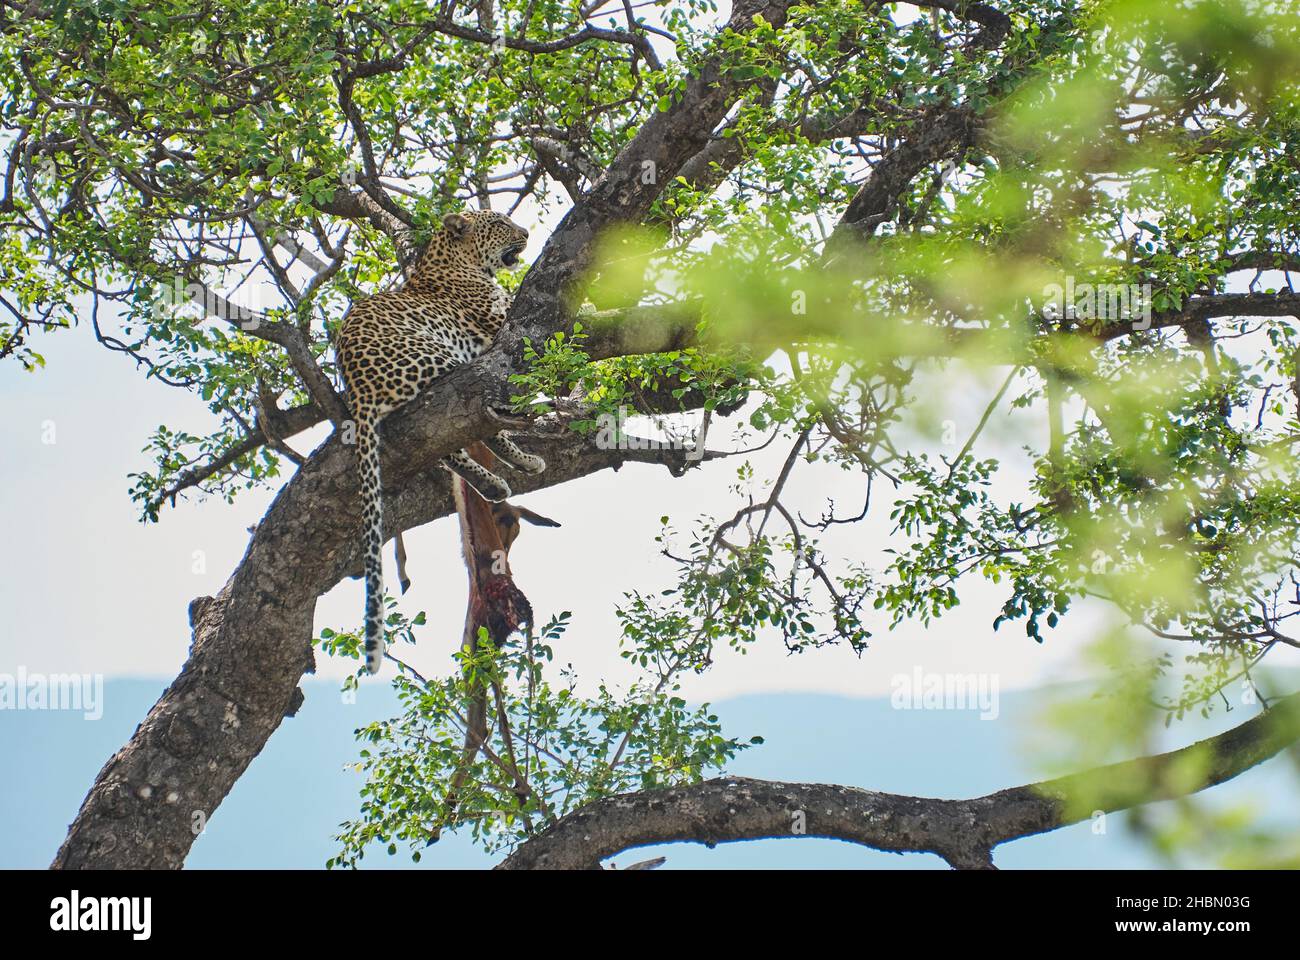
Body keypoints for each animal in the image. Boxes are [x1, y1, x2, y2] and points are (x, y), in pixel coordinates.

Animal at [338, 209, 546, 671]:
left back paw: (498, 480)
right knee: (478, 421)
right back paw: (516, 465)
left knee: (447, 444)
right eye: (500, 222)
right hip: (443, 359)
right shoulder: (501, 320)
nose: (526, 233)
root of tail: (357, 388)